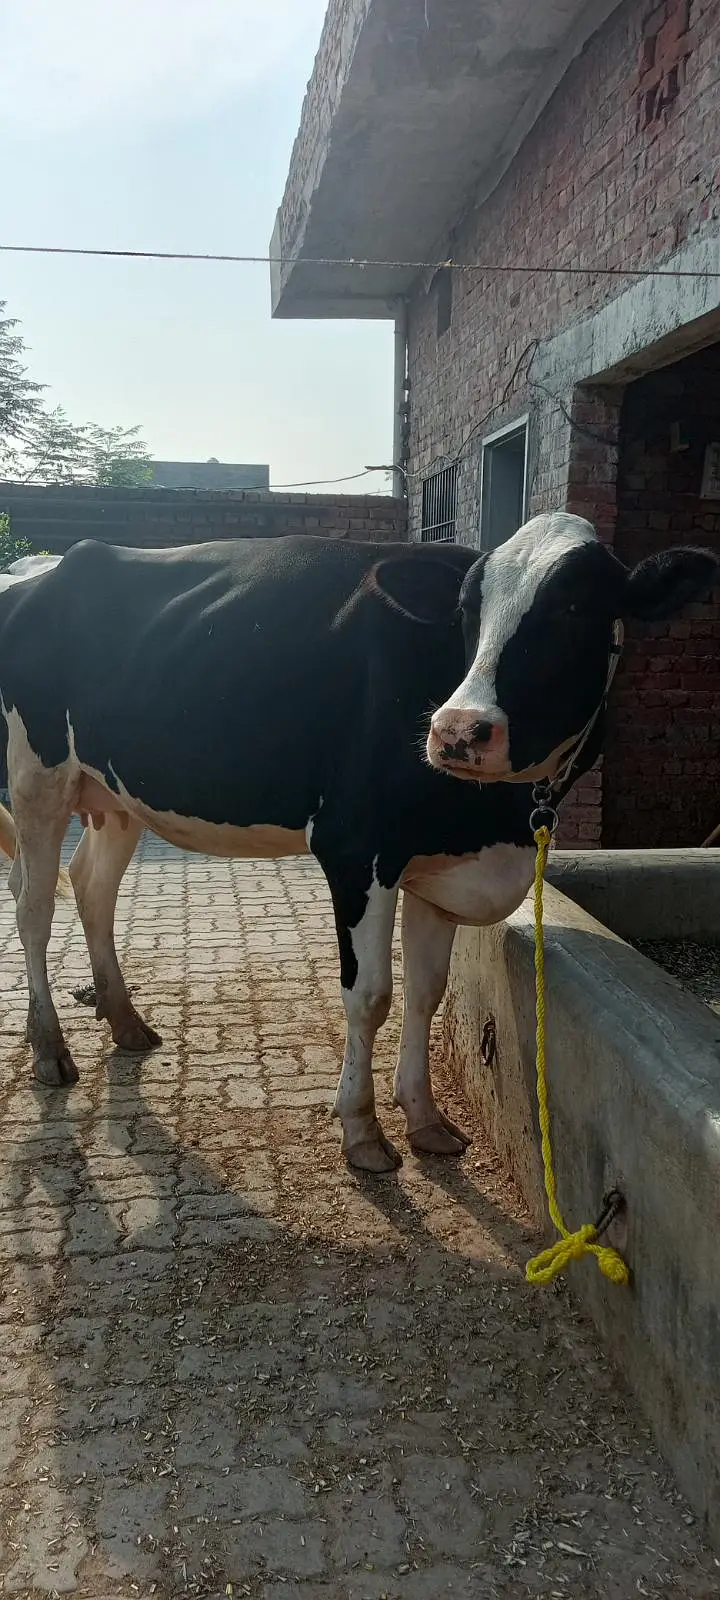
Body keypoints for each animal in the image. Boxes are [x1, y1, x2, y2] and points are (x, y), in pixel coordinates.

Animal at [0, 514, 715, 1173]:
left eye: (574, 607)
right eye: (467, 610)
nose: (457, 731)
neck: (497, 820)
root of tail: (45, 564)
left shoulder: (442, 866)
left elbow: (427, 992)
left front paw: (425, 1119)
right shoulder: (355, 850)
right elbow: (371, 996)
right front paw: (362, 1130)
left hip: (113, 793)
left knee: (91, 886)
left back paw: (124, 1020)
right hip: (36, 778)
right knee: (34, 907)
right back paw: (49, 1049)